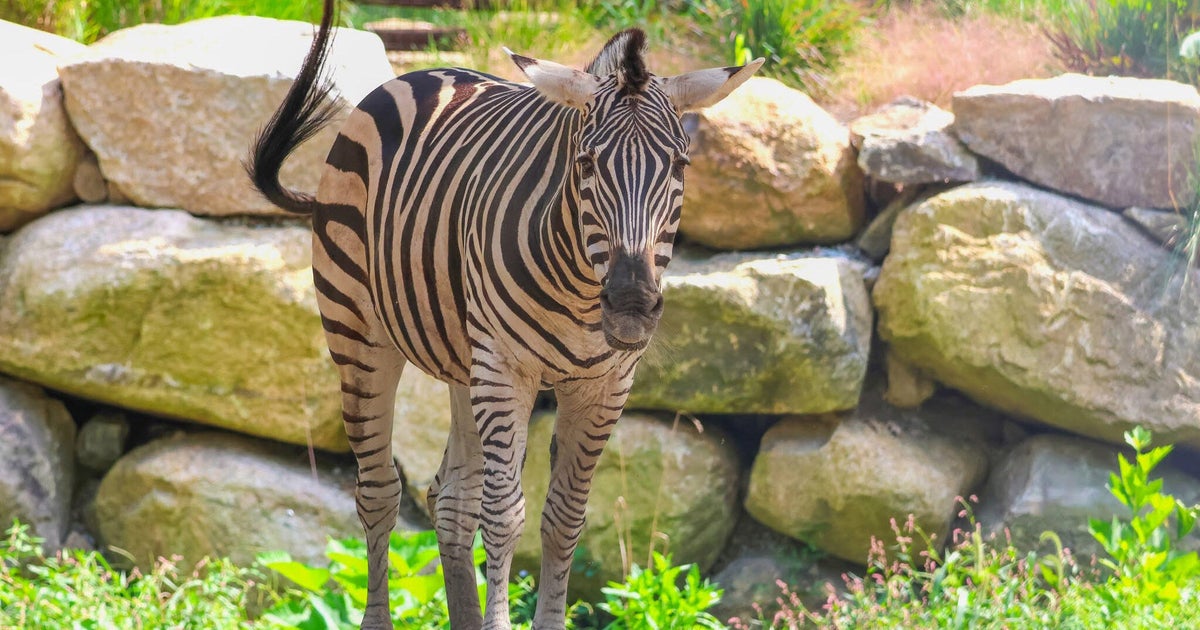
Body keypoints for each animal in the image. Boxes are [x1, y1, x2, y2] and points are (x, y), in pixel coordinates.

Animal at [248, 1, 761, 628]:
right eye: (586, 164)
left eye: (681, 166)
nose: (632, 306)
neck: (580, 289)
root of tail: (426, 73)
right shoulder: (506, 369)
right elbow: (504, 515)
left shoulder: (605, 384)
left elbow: (564, 518)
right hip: (360, 331)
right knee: (379, 492)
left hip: (463, 364)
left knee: (450, 497)